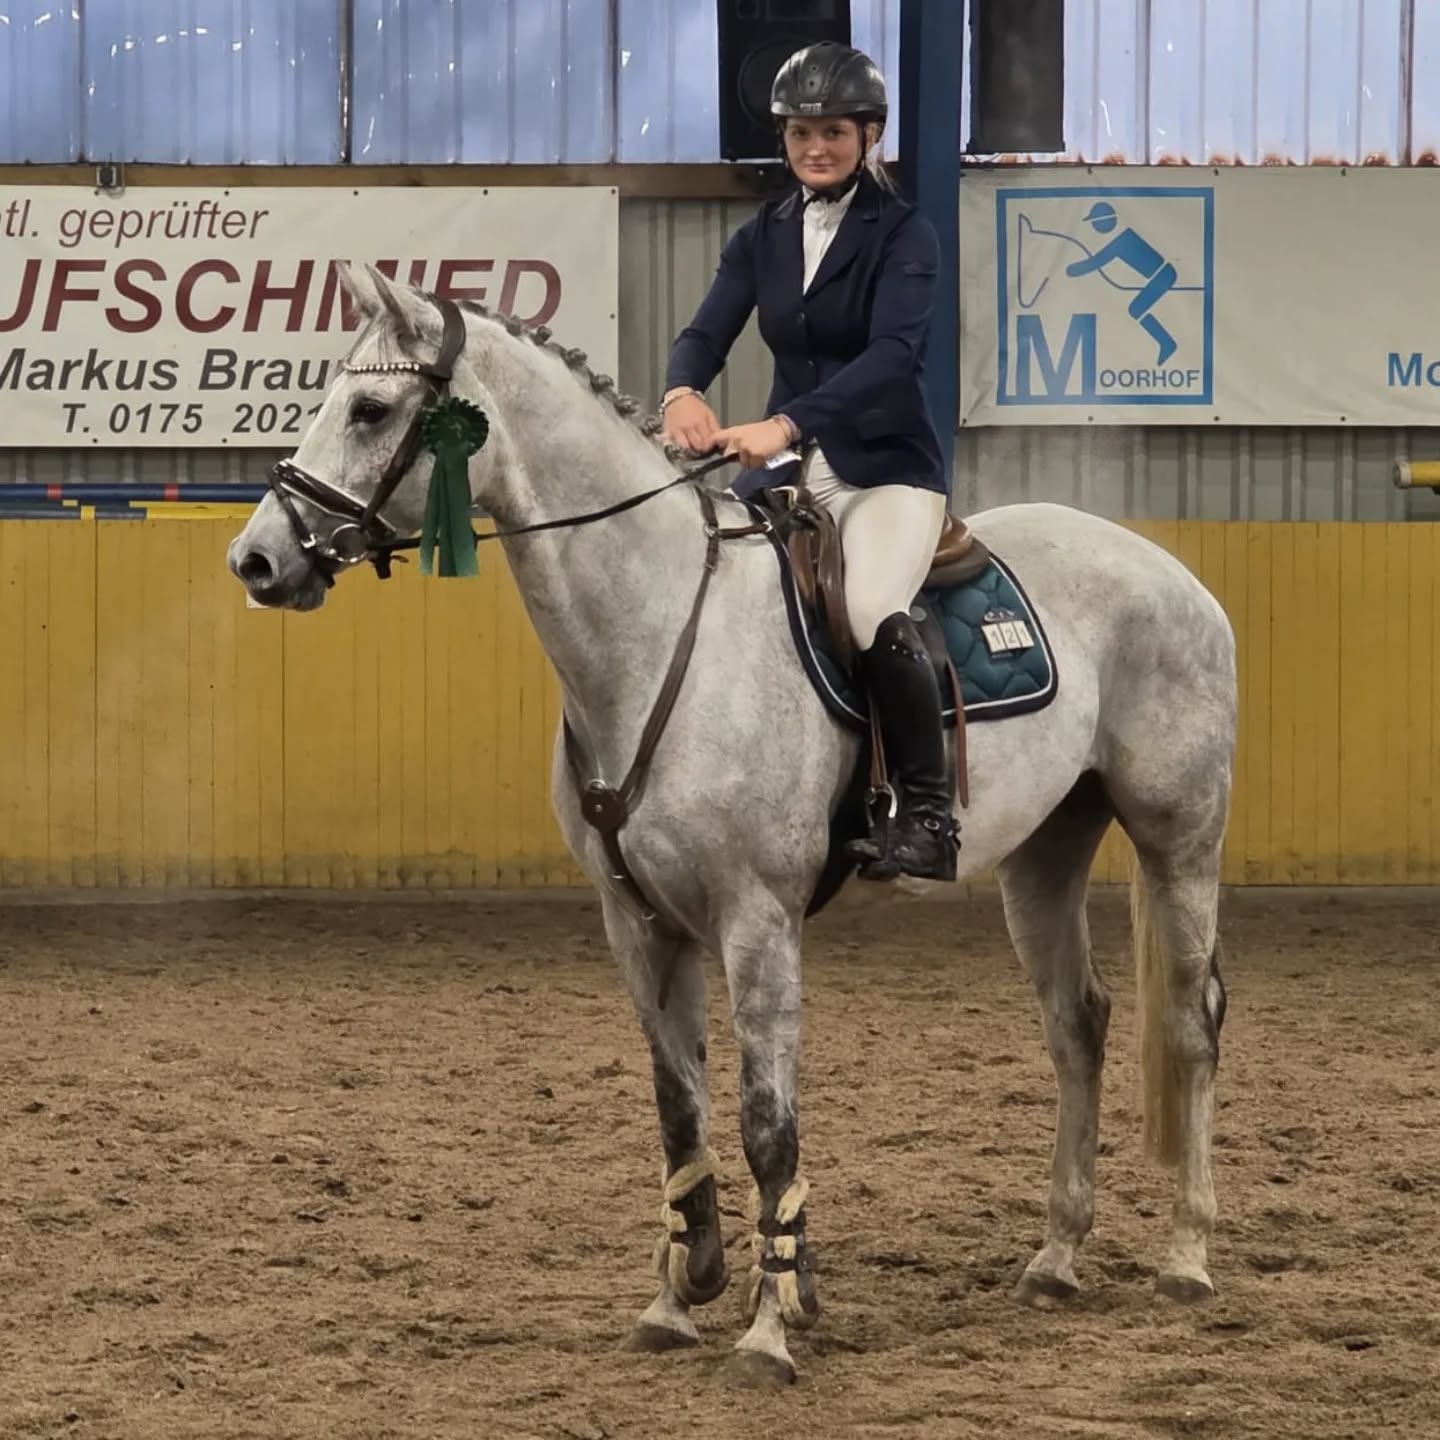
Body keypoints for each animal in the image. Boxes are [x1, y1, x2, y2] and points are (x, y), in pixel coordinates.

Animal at [226, 264, 1237, 1388]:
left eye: (369, 410)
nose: (257, 561)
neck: (658, 628)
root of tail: (1167, 570)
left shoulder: (758, 922)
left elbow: (764, 1126)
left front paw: (767, 1329)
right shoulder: (638, 924)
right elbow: (680, 1115)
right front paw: (678, 1300)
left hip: (1178, 837)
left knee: (1189, 1024)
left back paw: (1186, 1258)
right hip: (1043, 855)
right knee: (1078, 1025)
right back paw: (1056, 1259)